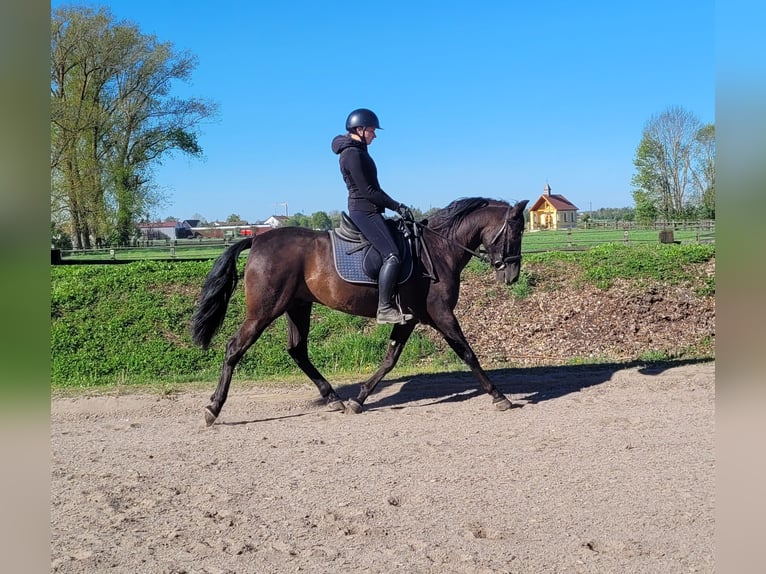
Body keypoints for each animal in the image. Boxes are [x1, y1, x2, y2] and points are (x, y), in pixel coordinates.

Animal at [190, 197, 529, 425]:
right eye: (516, 232)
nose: (512, 276)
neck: (439, 249)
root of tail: (258, 240)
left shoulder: (409, 318)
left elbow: (390, 359)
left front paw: (359, 398)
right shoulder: (441, 314)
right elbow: (467, 353)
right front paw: (499, 396)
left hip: (297, 306)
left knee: (297, 350)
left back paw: (334, 398)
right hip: (264, 310)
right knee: (235, 347)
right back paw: (213, 408)